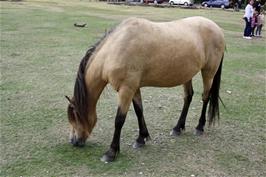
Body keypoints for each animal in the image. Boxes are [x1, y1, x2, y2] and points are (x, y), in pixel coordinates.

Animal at [65, 16, 225, 162]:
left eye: (75, 117)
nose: (74, 141)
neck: (117, 47)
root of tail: (217, 28)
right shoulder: (134, 88)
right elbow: (139, 111)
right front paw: (141, 138)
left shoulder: (126, 90)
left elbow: (119, 120)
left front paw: (111, 152)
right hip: (187, 74)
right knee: (188, 97)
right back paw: (177, 128)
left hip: (208, 73)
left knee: (205, 97)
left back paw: (199, 127)